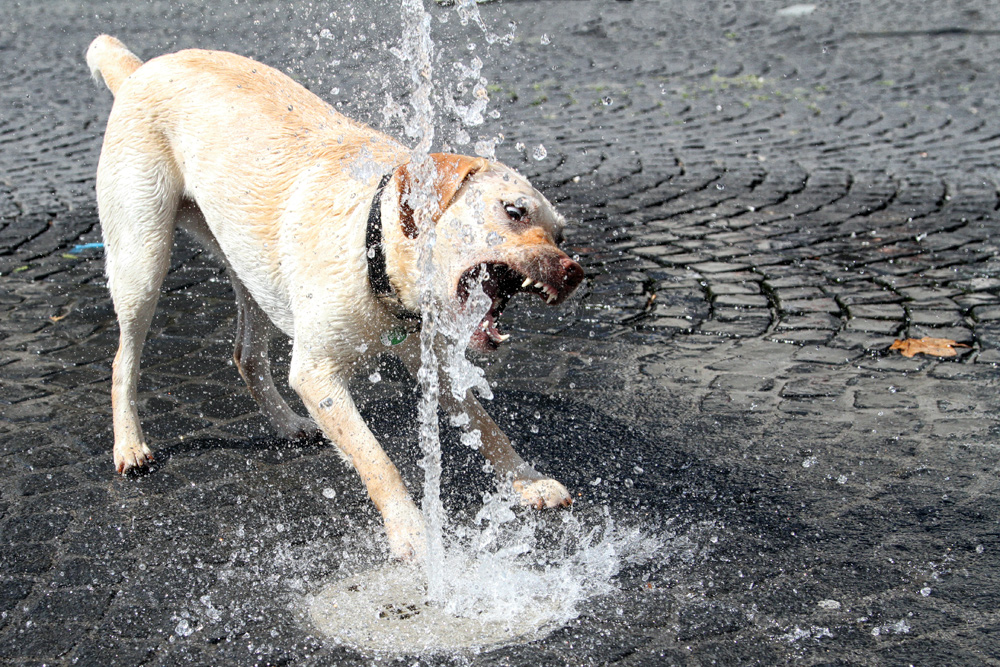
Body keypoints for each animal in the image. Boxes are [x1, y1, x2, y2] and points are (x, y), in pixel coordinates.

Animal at [88, 35, 584, 560]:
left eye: (560, 234)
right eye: (514, 211)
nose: (573, 272)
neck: (373, 244)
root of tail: (138, 69)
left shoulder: (434, 362)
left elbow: (486, 425)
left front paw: (527, 480)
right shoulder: (317, 374)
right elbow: (376, 459)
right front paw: (412, 530)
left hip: (246, 266)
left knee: (246, 355)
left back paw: (287, 423)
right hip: (142, 258)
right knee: (123, 360)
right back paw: (129, 445)